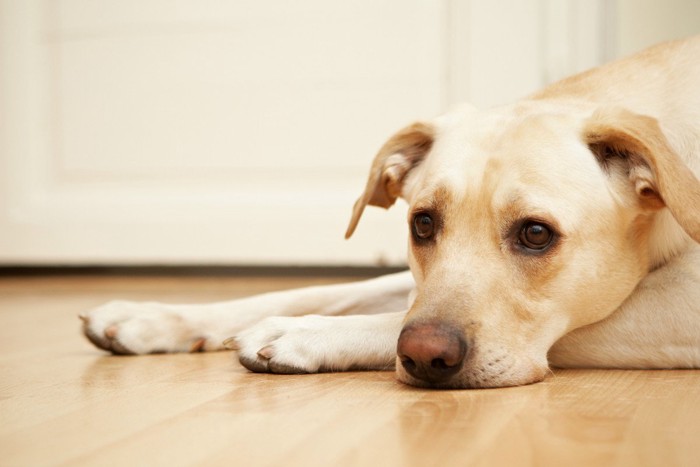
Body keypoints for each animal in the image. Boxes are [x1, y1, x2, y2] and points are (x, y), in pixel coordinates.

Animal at [80, 36, 700, 390]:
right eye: (422, 224)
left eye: (535, 234)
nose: (424, 356)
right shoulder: (414, 280)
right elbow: (317, 291)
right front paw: (152, 316)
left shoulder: (678, 305)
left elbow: (386, 318)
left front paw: (301, 334)